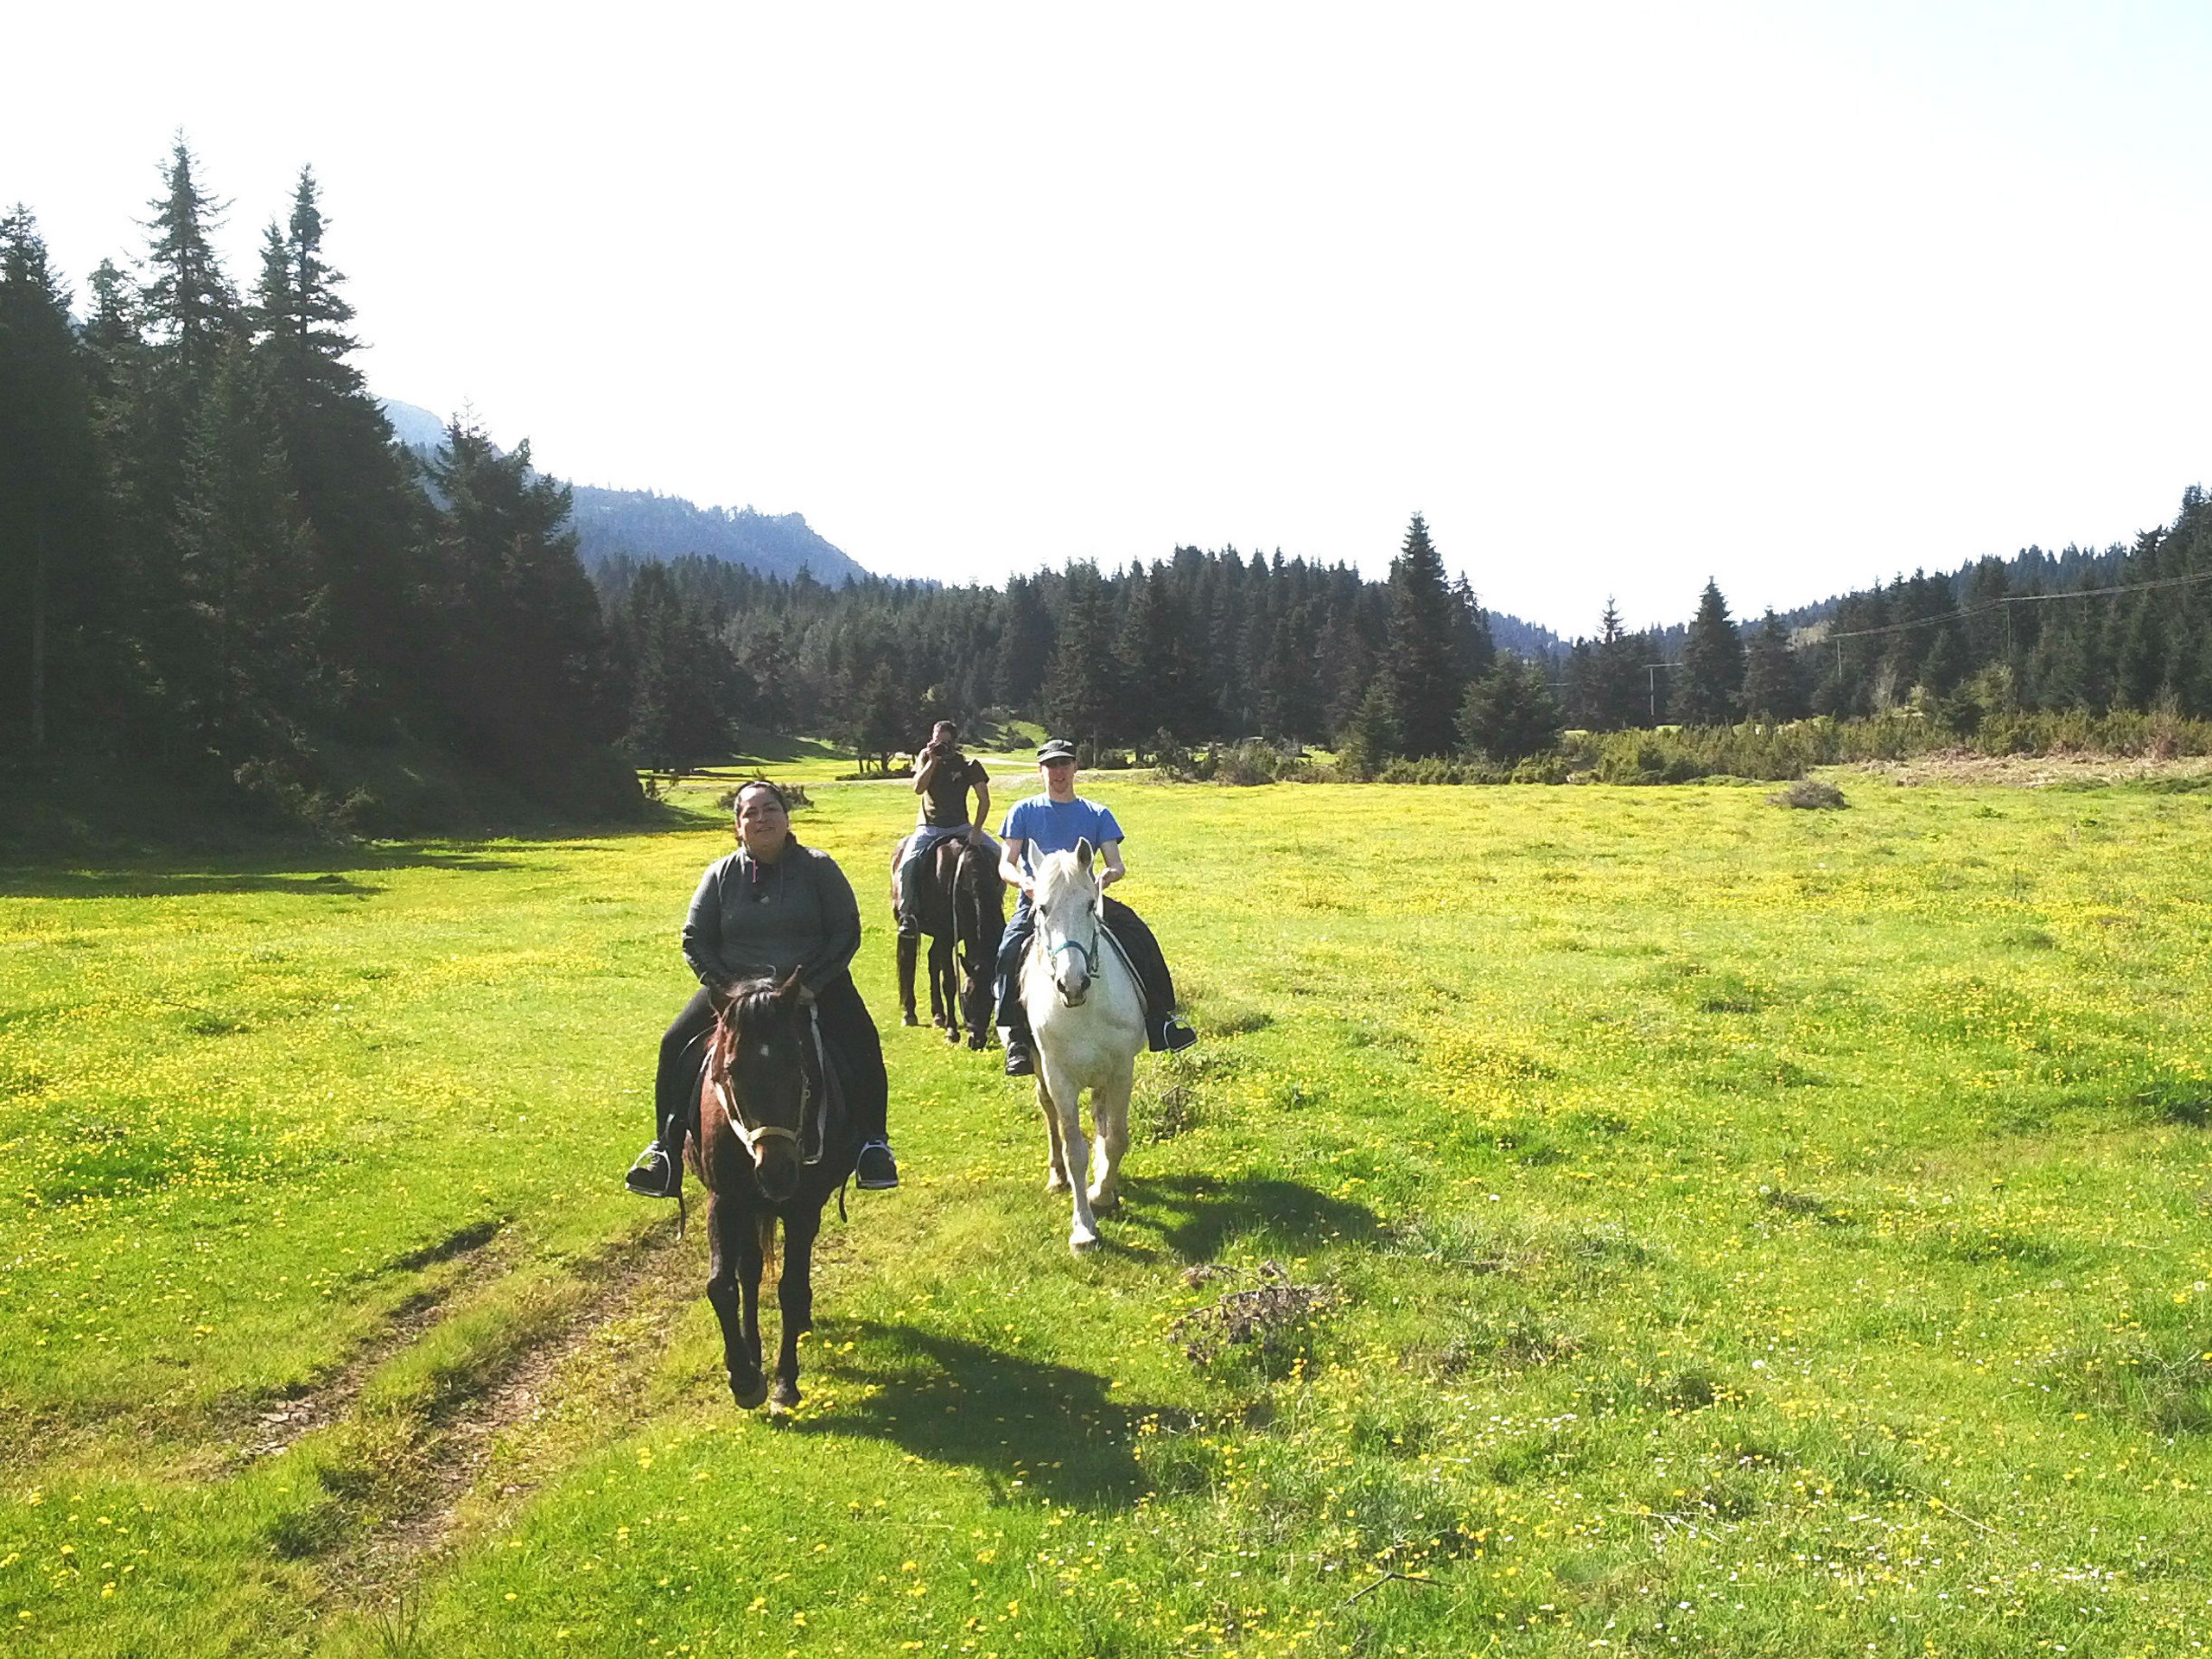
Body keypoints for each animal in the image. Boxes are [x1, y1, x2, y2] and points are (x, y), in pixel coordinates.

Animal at [690, 973, 854, 1415]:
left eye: (798, 1064)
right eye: (731, 1070)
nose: (777, 1172)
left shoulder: (802, 1209)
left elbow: (790, 1288)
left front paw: (785, 1383)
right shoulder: (724, 1202)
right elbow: (722, 1285)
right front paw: (744, 1377)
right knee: (748, 1270)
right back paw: (751, 1350)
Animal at [889, 836, 1013, 1057]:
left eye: (991, 1000)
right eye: (966, 997)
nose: (976, 1041)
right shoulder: (946, 936)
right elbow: (949, 983)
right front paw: (952, 1032)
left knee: (932, 961)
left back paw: (938, 1015)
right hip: (911, 927)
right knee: (909, 964)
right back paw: (910, 1014)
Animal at [1021, 836, 1150, 1256]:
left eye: (1091, 905)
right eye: (1042, 907)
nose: (1072, 984)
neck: (1085, 1006)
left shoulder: (1121, 1069)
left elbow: (1117, 1137)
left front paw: (1102, 1192)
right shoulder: (1059, 1076)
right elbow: (1074, 1147)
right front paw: (1083, 1228)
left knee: (1101, 1117)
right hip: (1039, 1068)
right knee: (1049, 1114)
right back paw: (1057, 1176)